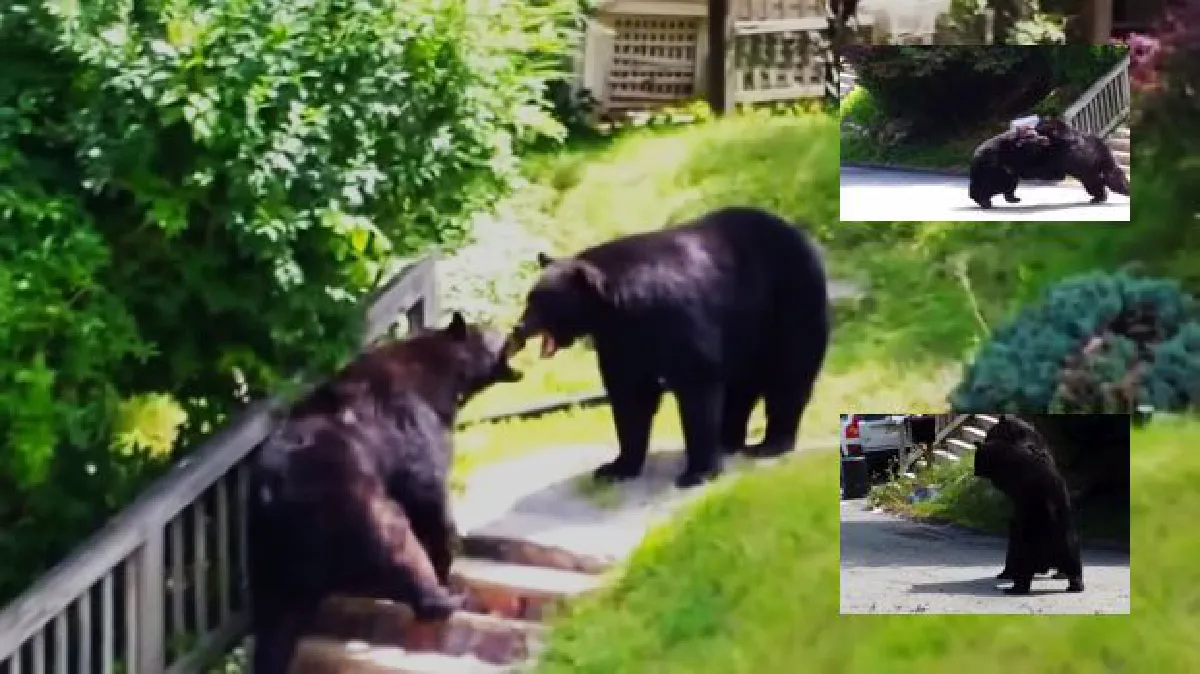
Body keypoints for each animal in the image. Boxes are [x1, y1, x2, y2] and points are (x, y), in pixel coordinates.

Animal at [247, 312, 522, 674]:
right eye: (490, 329)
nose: (513, 326)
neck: (439, 377)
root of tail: (273, 492)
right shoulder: (413, 423)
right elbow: (428, 491)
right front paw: (447, 558)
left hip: (267, 552)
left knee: (274, 618)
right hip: (352, 499)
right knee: (397, 542)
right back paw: (445, 599)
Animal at [508, 205, 831, 489]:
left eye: (541, 302)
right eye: (530, 298)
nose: (519, 327)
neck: (618, 308)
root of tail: (801, 235)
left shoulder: (675, 319)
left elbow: (696, 385)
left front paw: (697, 472)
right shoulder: (620, 341)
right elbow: (629, 395)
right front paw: (616, 467)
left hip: (790, 303)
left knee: (790, 372)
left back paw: (771, 443)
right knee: (742, 386)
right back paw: (728, 439)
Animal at [973, 415, 1084, 595]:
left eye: (989, 432)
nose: (985, 438)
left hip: (1030, 541)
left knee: (1022, 563)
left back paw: (1015, 586)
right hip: (1067, 539)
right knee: (1074, 563)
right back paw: (1073, 583)